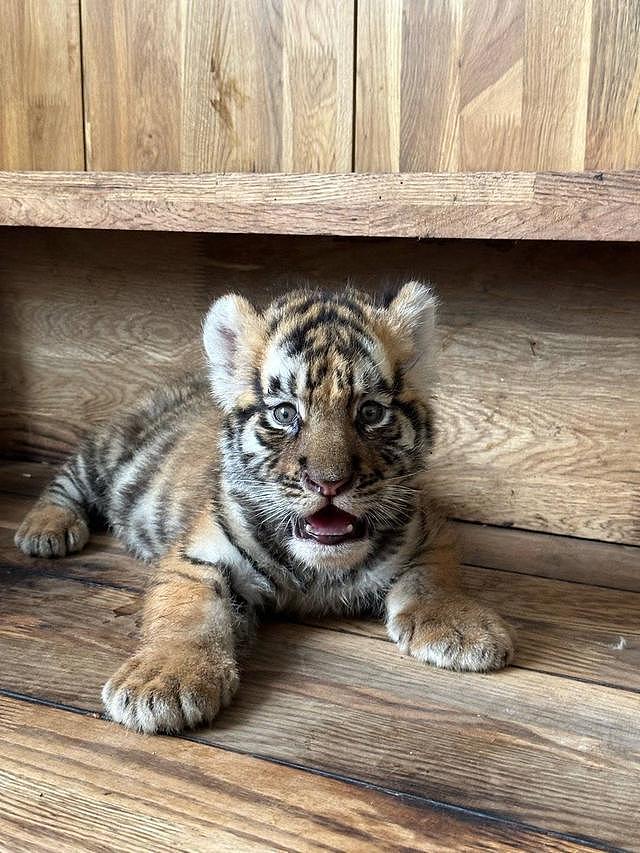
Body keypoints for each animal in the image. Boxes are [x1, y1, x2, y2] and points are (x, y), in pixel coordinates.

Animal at [15, 281, 515, 734]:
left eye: (371, 413)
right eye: (285, 414)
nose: (329, 482)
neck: (318, 573)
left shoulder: (430, 527)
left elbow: (434, 578)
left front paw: (462, 629)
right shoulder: (196, 557)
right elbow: (186, 616)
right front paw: (162, 683)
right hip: (105, 451)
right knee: (65, 482)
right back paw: (45, 530)